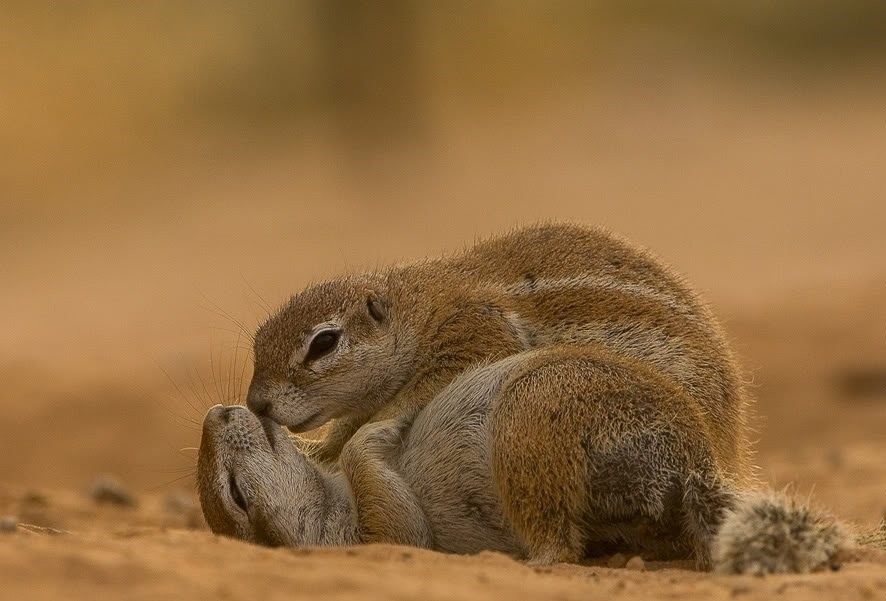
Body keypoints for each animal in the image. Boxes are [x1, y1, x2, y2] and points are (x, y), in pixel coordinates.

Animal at [198, 223, 884, 568]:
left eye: (323, 344)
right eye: (257, 342)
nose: (257, 405)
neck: (421, 307)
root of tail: (728, 456)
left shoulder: (470, 337)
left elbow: (404, 401)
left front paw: (353, 437)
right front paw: (325, 445)